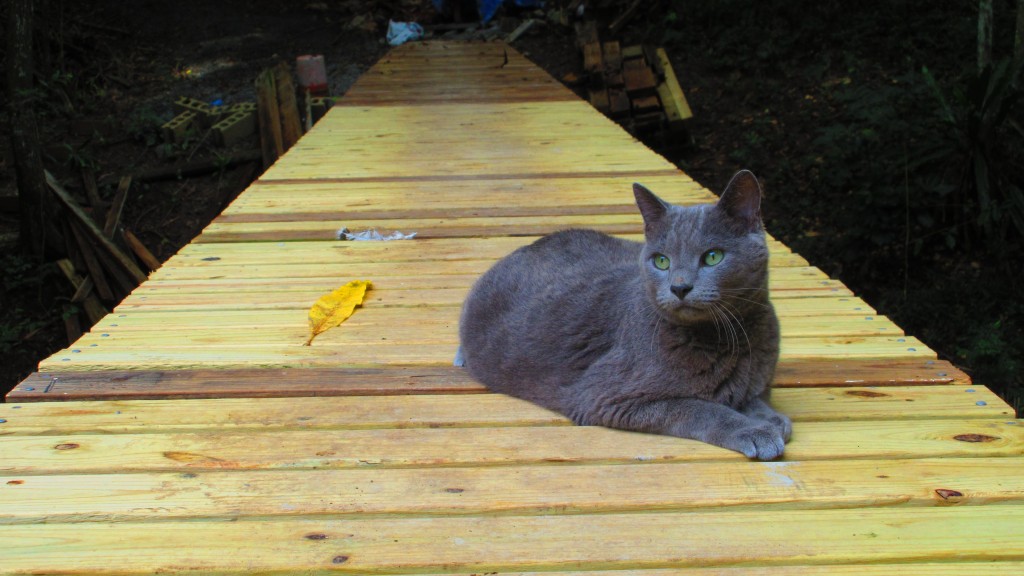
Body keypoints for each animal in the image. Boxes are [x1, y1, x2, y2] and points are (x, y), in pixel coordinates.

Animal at [458, 170, 790, 457]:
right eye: (661, 261)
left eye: (712, 256)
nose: (679, 287)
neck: (731, 337)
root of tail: (528, 246)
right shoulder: (607, 397)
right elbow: (699, 407)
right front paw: (753, 430)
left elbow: (752, 397)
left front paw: (770, 418)